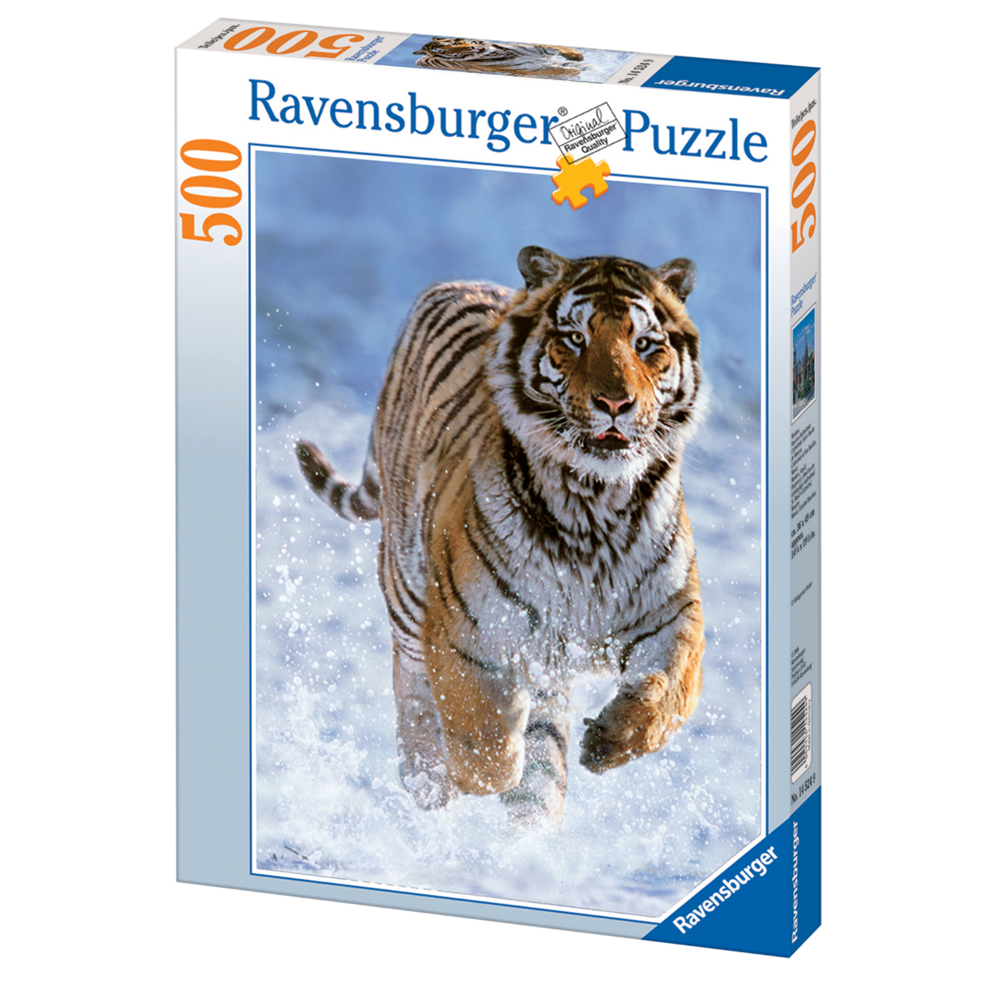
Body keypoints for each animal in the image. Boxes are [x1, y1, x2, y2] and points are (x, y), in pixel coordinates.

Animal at [297, 246, 705, 825]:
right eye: (574, 338)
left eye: (646, 345)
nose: (615, 404)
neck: (594, 504)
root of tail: (453, 283)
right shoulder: (464, 628)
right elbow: (483, 742)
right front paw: (481, 765)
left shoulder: (671, 611)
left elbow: (674, 688)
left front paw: (610, 741)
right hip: (406, 590)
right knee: (413, 691)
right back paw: (429, 782)